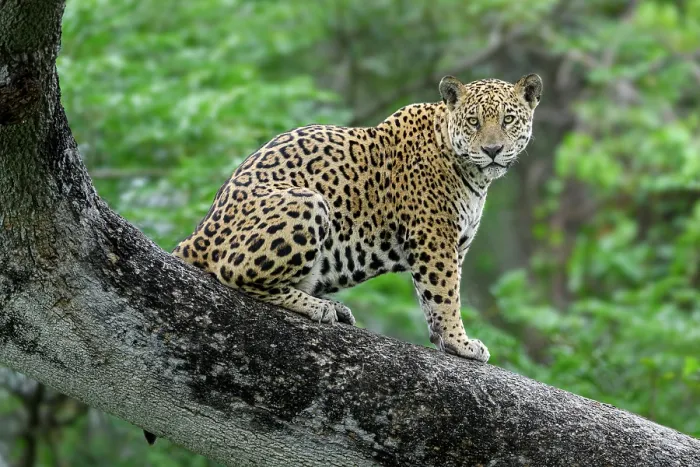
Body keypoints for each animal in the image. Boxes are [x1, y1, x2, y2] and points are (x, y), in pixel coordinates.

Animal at [143, 72, 541, 444]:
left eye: (507, 119)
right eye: (473, 121)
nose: (492, 149)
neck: (470, 171)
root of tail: (199, 232)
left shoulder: (454, 245)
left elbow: (436, 298)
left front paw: (444, 339)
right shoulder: (433, 238)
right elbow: (445, 294)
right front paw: (460, 343)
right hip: (307, 202)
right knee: (235, 272)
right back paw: (319, 307)